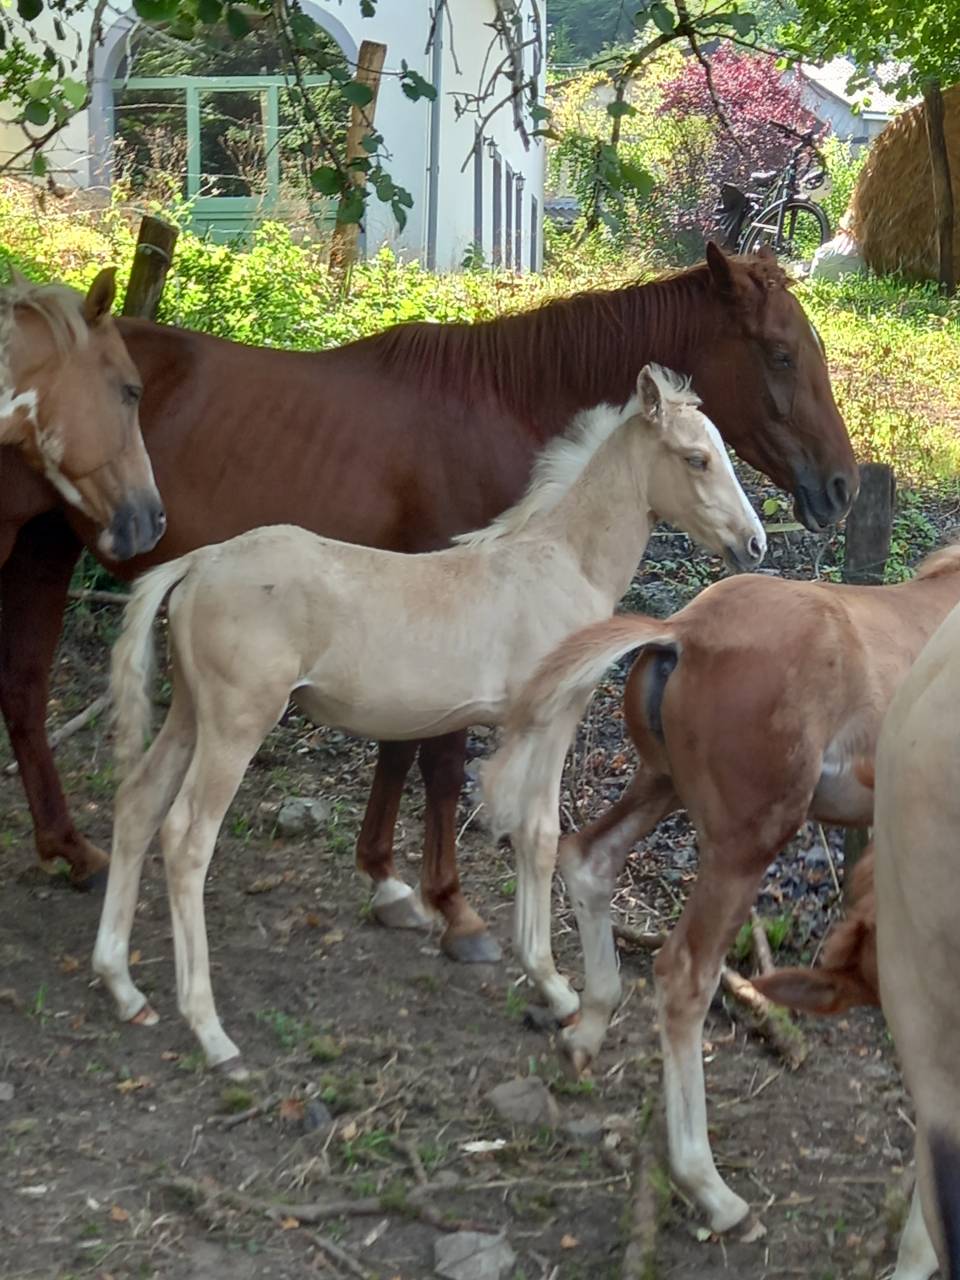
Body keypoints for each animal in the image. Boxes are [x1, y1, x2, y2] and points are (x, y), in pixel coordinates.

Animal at [91, 365, 765, 1075]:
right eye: (695, 458)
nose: (754, 543)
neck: (562, 563)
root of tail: (199, 562)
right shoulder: (552, 717)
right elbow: (539, 834)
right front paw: (557, 989)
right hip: (235, 723)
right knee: (187, 836)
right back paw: (210, 1031)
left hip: (191, 713)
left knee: (137, 801)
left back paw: (123, 985)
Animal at [482, 543, 960, 1237]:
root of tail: (685, 632)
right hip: (744, 845)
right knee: (685, 973)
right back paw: (709, 1188)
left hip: (659, 784)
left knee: (588, 857)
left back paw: (585, 1029)